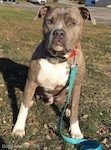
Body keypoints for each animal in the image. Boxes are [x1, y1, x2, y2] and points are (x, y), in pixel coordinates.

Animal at [11, 5, 95, 139]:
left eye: (72, 22)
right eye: (49, 21)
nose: (58, 32)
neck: (57, 59)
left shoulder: (76, 86)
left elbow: (75, 110)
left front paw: (75, 131)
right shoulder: (31, 81)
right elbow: (23, 108)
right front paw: (18, 128)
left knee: (70, 103)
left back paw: (67, 110)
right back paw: (32, 101)